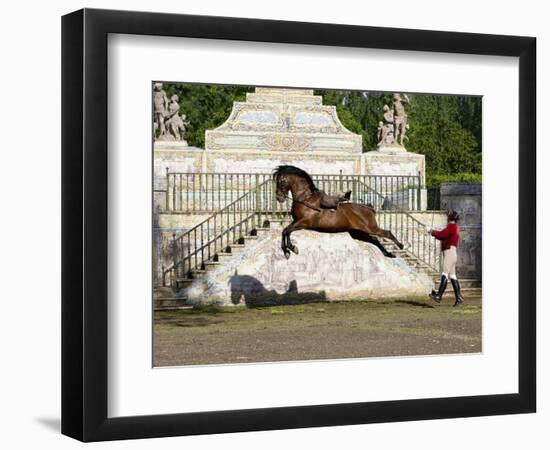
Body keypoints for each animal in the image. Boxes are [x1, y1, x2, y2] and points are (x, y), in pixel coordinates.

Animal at [274, 165, 406, 258]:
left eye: (281, 181)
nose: (279, 198)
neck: (305, 199)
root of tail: (368, 208)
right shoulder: (296, 221)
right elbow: (285, 231)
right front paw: (288, 250)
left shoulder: (304, 223)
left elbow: (286, 231)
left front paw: (290, 249)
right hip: (359, 233)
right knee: (375, 240)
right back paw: (389, 254)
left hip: (370, 228)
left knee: (387, 233)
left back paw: (400, 246)